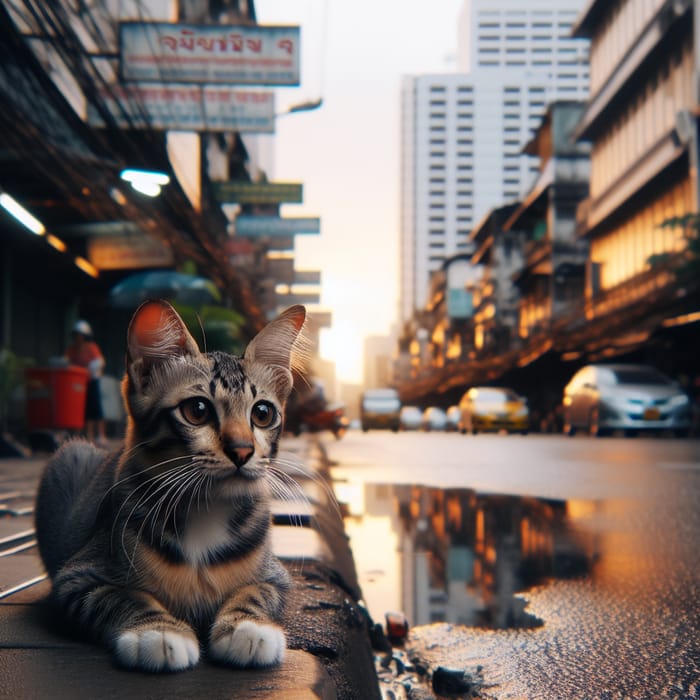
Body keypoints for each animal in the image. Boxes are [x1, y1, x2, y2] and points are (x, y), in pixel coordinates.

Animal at [34, 300, 304, 672]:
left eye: (262, 413)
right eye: (198, 409)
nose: (242, 450)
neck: (207, 510)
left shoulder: (276, 576)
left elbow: (255, 591)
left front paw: (248, 627)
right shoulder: (76, 578)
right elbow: (123, 595)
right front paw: (158, 631)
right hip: (70, 455)